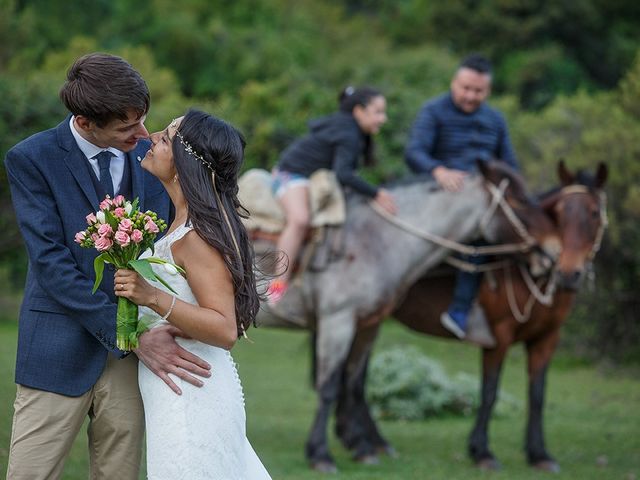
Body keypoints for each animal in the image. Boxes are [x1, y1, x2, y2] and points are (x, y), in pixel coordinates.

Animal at [251, 159, 560, 470]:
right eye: (518, 200)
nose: (554, 252)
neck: (374, 241)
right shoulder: (337, 322)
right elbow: (329, 386)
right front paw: (320, 454)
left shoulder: (366, 325)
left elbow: (352, 382)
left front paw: (362, 447)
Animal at [338, 161, 608, 472]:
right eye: (560, 213)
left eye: (594, 213)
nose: (567, 272)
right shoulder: (499, 335)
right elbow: (490, 392)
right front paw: (482, 451)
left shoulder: (547, 338)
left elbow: (538, 394)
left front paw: (539, 453)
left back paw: (368, 440)